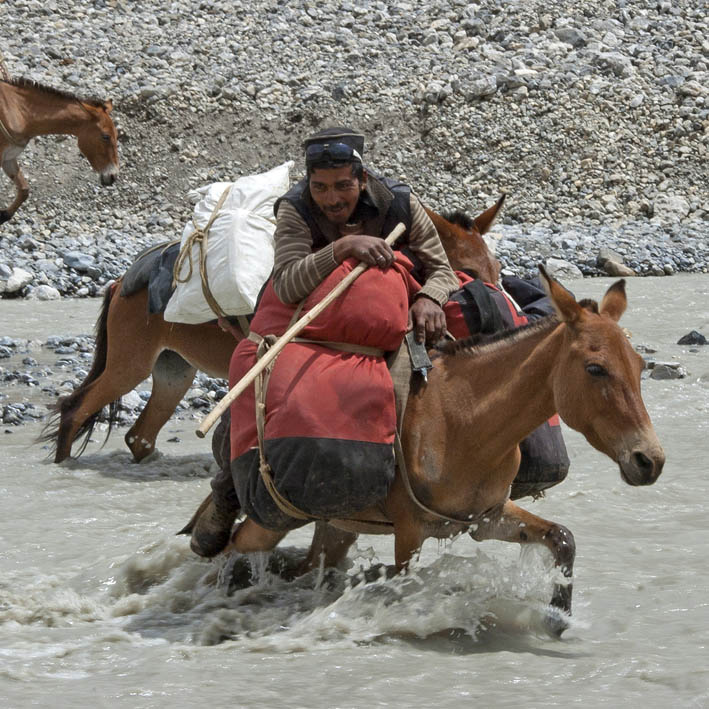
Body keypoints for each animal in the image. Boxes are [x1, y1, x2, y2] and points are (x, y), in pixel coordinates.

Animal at [0, 76, 119, 223]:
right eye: (105, 136)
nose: (113, 176)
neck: (17, 111)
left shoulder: (9, 158)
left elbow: (24, 190)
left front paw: (5, 215)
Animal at [42, 198, 504, 464]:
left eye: (496, 270)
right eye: (469, 270)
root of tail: (122, 281)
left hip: (173, 370)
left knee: (139, 436)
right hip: (129, 364)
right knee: (75, 409)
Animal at [225, 268, 664, 628]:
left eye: (640, 366)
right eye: (595, 368)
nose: (650, 461)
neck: (462, 422)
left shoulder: (487, 518)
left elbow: (563, 538)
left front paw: (559, 615)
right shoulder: (410, 531)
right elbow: (406, 584)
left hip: (336, 524)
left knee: (306, 564)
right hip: (272, 520)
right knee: (234, 545)